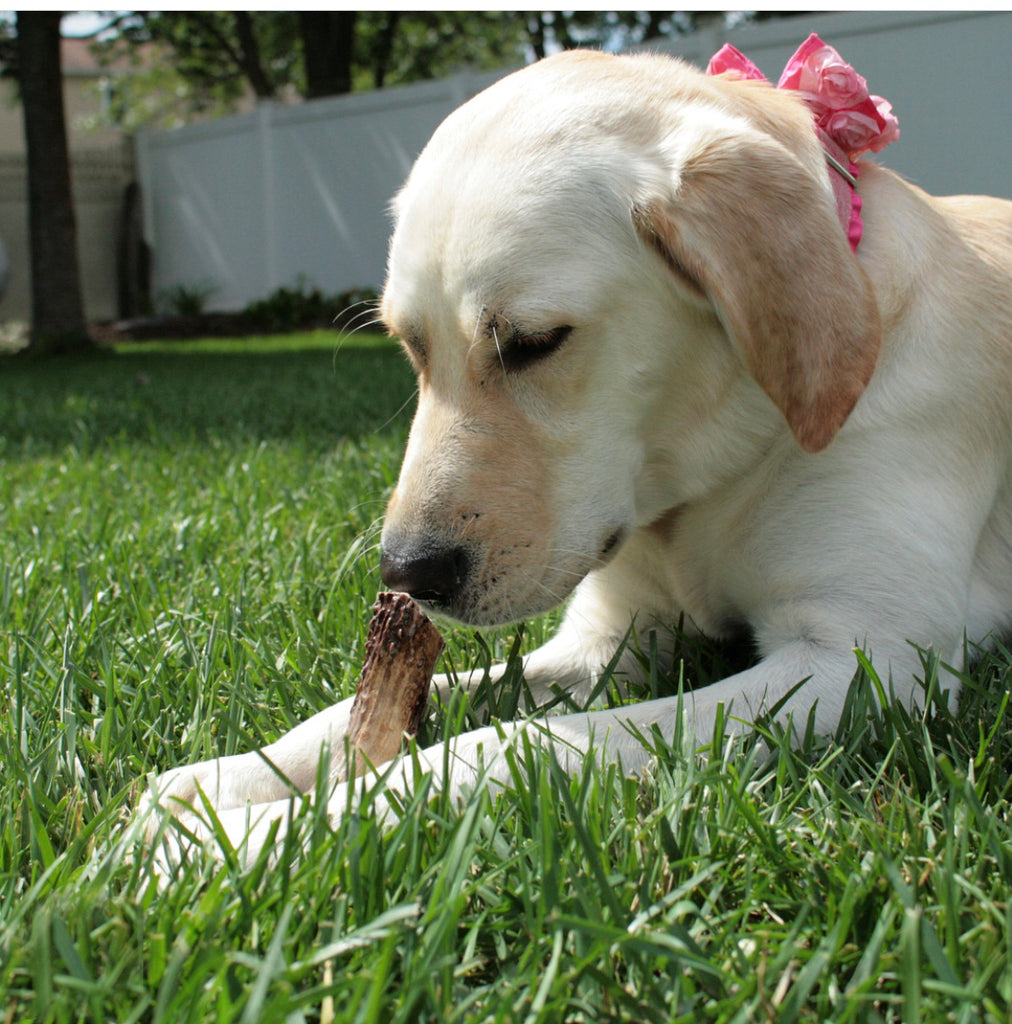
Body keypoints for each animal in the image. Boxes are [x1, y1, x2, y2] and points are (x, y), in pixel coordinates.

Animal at [140, 51, 1012, 860]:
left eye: (533, 343)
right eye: (411, 346)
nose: (406, 574)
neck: (715, 473)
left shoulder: (862, 662)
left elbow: (508, 746)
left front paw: (255, 839)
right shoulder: (609, 642)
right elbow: (386, 707)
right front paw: (225, 783)